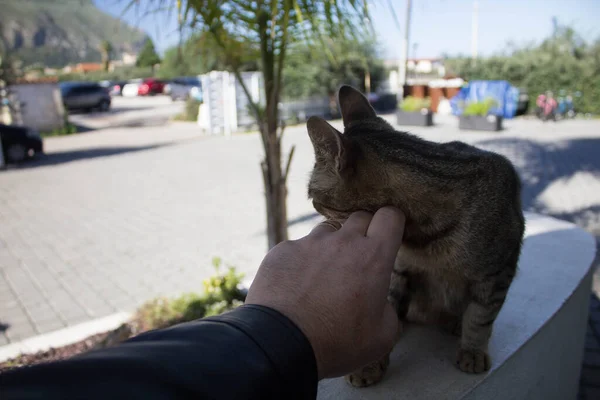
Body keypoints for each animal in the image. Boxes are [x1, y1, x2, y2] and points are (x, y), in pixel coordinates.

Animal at [308, 85, 524, 388]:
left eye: (315, 200)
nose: (316, 212)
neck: (422, 241)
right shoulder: (399, 271)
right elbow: (386, 311)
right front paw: (370, 365)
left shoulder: (497, 273)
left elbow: (480, 318)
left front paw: (473, 350)